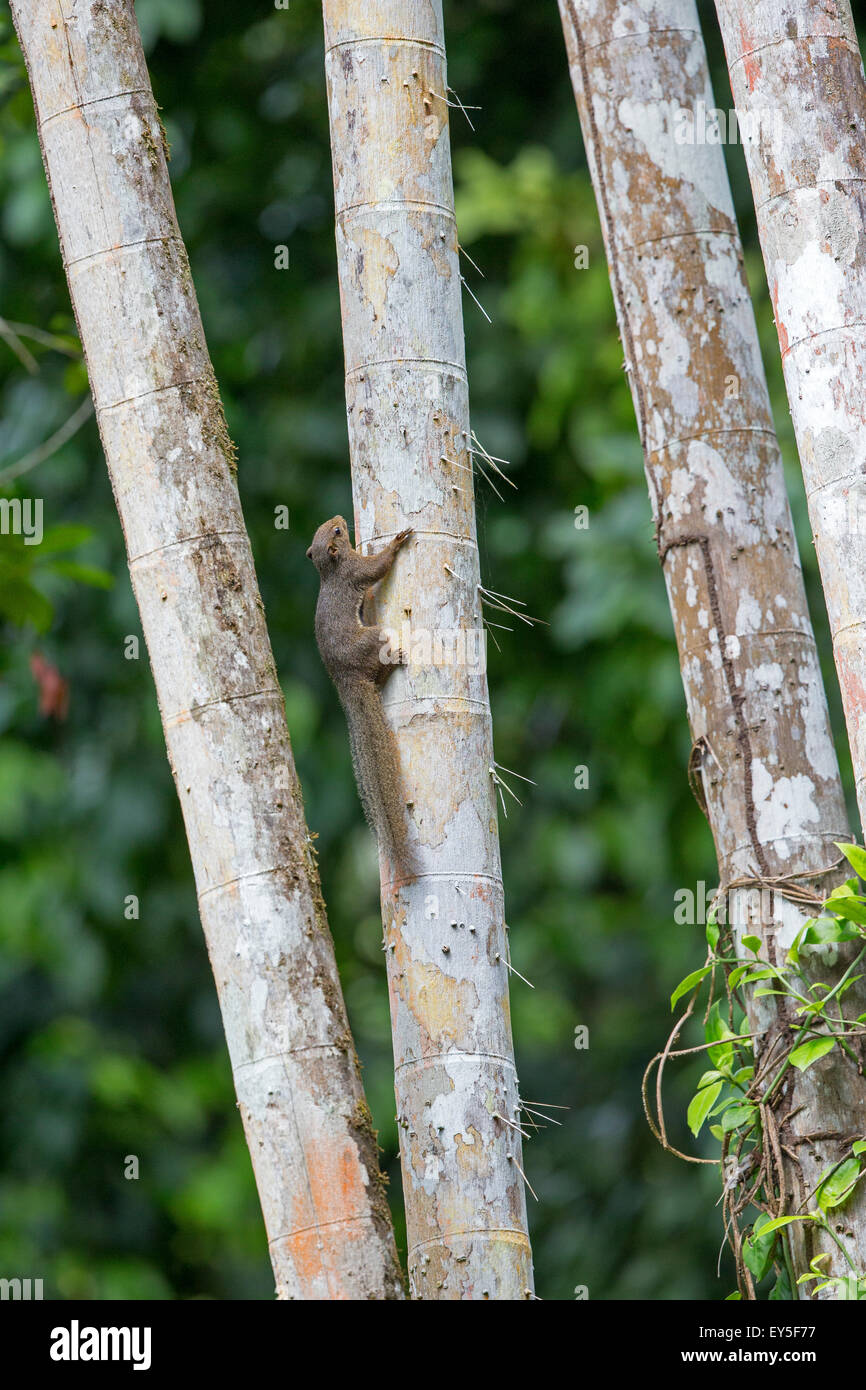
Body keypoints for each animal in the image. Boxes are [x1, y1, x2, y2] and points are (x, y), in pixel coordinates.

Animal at [307, 515, 415, 877]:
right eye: (338, 532)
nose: (340, 518)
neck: (331, 569)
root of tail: (346, 680)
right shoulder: (355, 571)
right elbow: (377, 568)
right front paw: (394, 544)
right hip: (374, 638)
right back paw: (393, 663)